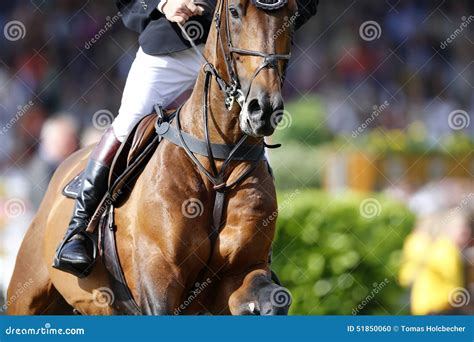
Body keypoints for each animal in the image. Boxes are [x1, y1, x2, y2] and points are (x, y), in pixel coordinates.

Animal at [6, 0, 296, 314]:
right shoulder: (158, 281)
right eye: (234, 12)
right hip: (26, 295)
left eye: (292, 15)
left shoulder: (241, 272)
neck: (218, 162)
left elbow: (275, 300)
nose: (263, 110)